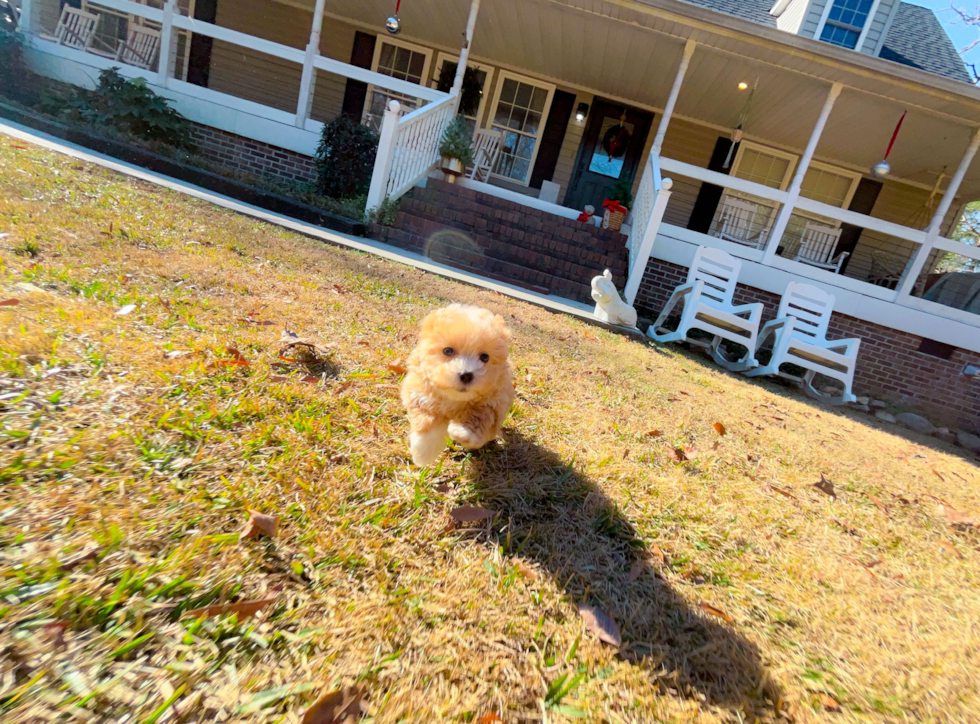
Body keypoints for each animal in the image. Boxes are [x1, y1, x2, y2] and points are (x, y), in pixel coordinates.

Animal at [402, 304, 516, 464]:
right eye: (448, 351)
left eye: (485, 357)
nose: (466, 375)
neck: (455, 398)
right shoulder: (420, 391)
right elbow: (427, 418)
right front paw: (424, 453)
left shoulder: (494, 404)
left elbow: (479, 417)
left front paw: (463, 432)